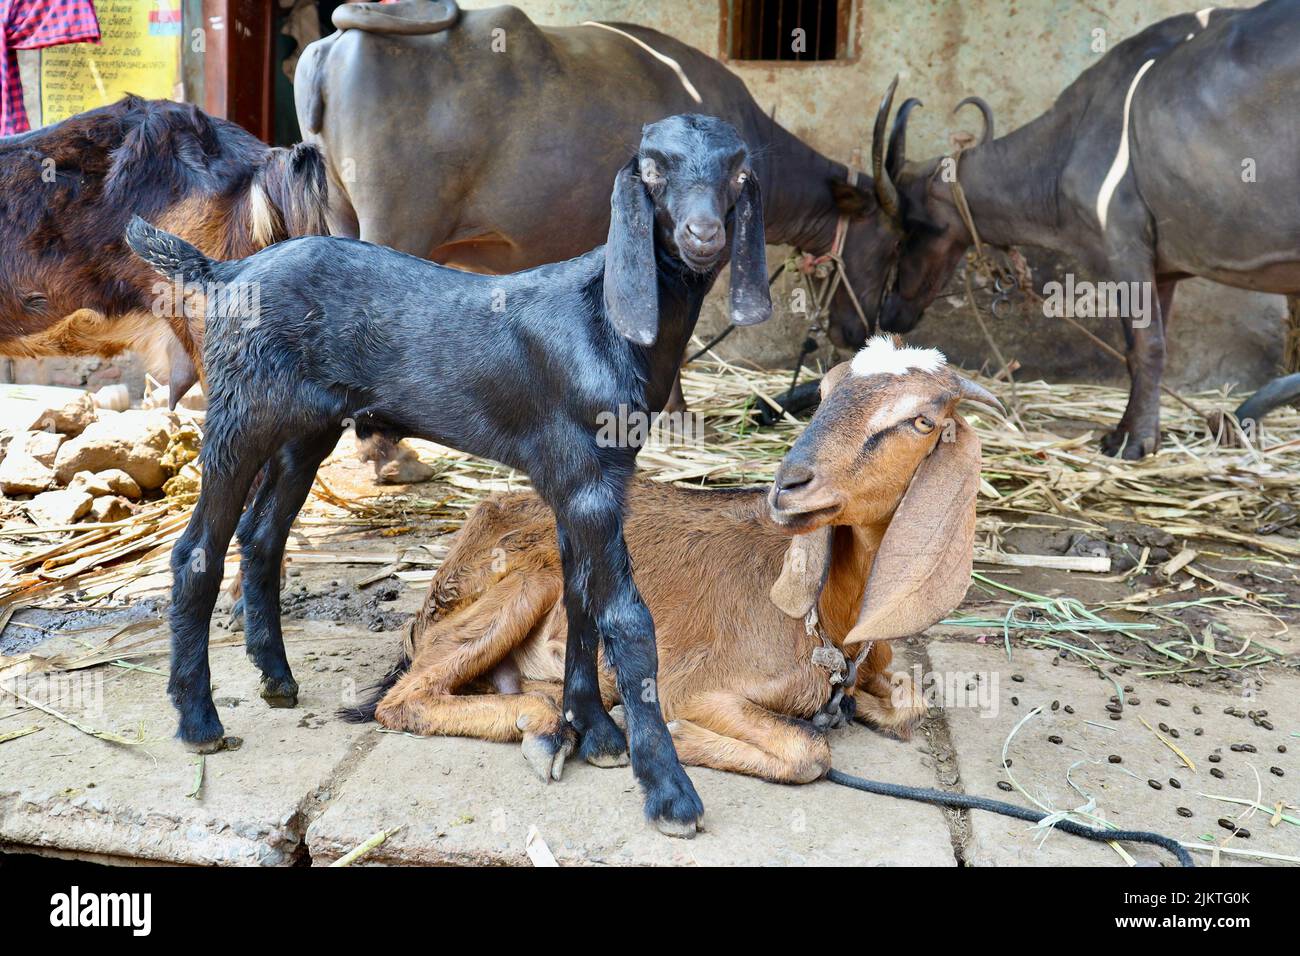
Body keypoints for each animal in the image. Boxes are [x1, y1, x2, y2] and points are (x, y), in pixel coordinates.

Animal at [125, 114, 771, 836]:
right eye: (654, 169)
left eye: (740, 173)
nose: (703, 234)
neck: (603, 320)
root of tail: (226, 270)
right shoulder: (584, 478)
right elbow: (627, 617)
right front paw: (667, 789)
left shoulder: (589, 480)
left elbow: (581, 599)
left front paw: (595, 731)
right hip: (242, 414)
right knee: (195, 552)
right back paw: (198, 720)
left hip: (305, 427)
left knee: (262, 536)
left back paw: (276, 678)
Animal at [349, 338, 1002, 785]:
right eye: (822, 395)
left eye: (922, 420)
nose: (791, 484)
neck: (833, 619)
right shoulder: (703, 687)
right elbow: (807, 752)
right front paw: (678, 735)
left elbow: (911, 703)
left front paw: (860, 707)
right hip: (529, 582)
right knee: (404, 700)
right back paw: (553, 727)